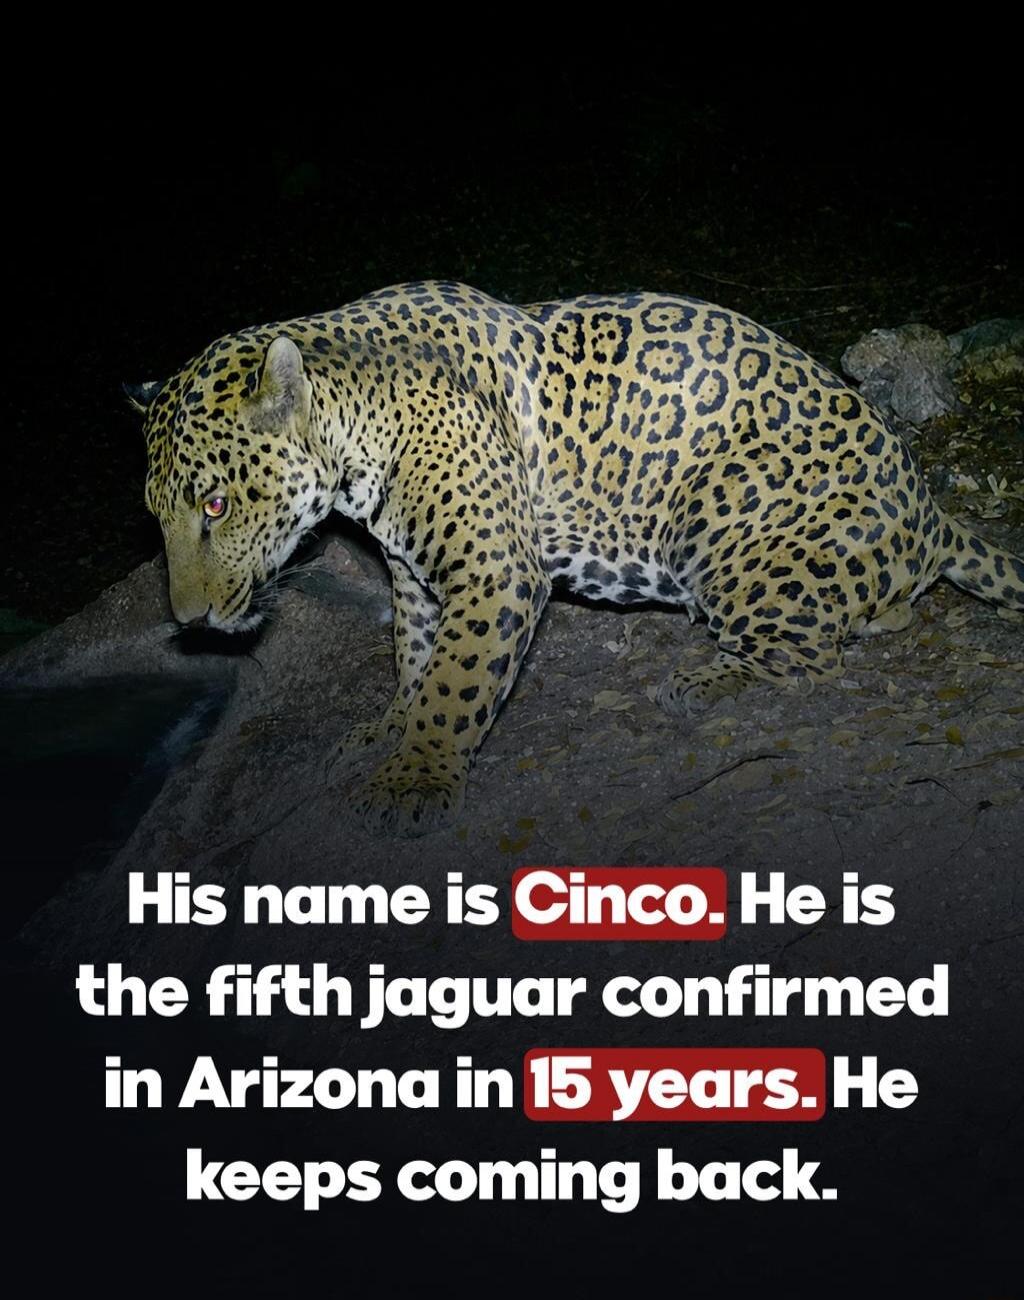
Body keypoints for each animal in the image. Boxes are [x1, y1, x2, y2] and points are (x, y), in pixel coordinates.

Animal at [130, 281, 1024, 836]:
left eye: (216, 505)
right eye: (159, 514)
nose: (189, 620)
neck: (358, 430)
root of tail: (930, 510)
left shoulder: (492, 572)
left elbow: (453, 685)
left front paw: (415, 779)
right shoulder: (417, 579)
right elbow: (415, 663)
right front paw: (389, 730)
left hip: (717, 518)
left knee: (810, 655)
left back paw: (705, 681)